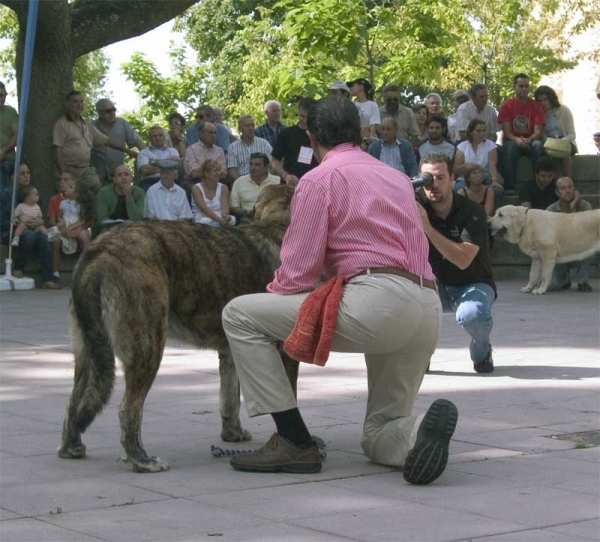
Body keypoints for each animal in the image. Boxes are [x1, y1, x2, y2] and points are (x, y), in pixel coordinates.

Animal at [57, 186, 296, 472]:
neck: (277, 223)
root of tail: (100, 250)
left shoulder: (231, 350)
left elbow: (229, 397)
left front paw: (232, 434)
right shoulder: (284, 351)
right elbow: (289, 397)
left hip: (88, 352)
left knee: (75, 401)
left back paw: (71, 446)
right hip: (147, 346)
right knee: (128, 409)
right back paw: (141, 459)